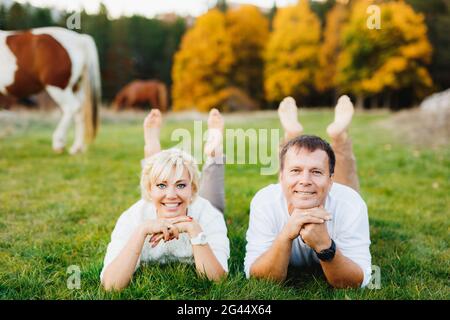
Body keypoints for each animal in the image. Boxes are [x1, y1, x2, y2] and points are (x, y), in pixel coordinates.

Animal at [0, 26, 101, 154]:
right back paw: (76, 148)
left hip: (57, 86)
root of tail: (80, 39)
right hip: (75, 87)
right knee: (79, 111)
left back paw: (59, 142)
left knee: (71, 107)